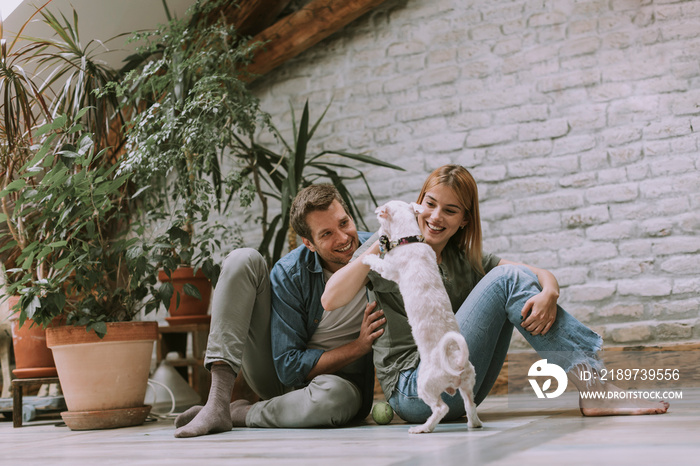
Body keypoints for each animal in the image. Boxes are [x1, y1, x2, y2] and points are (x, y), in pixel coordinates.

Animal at [360, 199, 482, 434]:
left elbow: (380, 264)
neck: (409, 239)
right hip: (468, 384)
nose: (378, 236)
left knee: (441, 408)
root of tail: (455, 360)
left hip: (424, 384)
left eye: (380, 219)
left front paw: (368, 257)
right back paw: (474, 423)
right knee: (470, 404)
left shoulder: (390, 270)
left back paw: (422, 428)